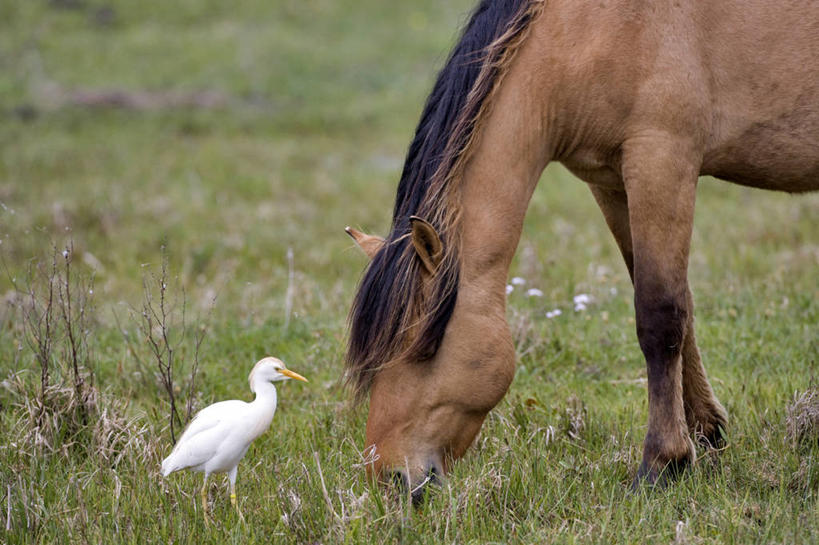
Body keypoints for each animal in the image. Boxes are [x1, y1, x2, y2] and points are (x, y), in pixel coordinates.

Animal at [344, 0, 819, 498]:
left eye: (424, 350)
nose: (387, 478)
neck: (587, 32)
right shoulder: (612, 183)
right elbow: (681, 309)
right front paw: (706, 436)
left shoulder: (662, 163)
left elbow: (660, 317)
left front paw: (661, 464)